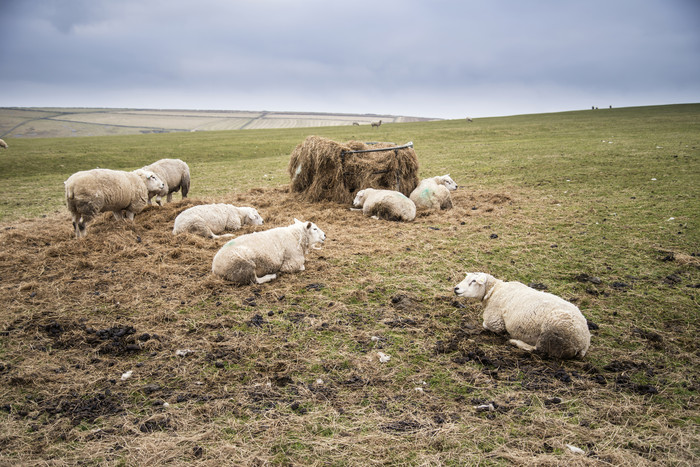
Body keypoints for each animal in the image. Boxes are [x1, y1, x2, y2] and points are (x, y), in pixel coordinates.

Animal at [454, 272, 592, 360]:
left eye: (473, 281)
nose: (456, 288)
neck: (495, 291)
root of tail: (583, 344)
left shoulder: (495, 321)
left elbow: (486, 325)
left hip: (552, 335)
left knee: (538, 350)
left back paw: (515, 341)